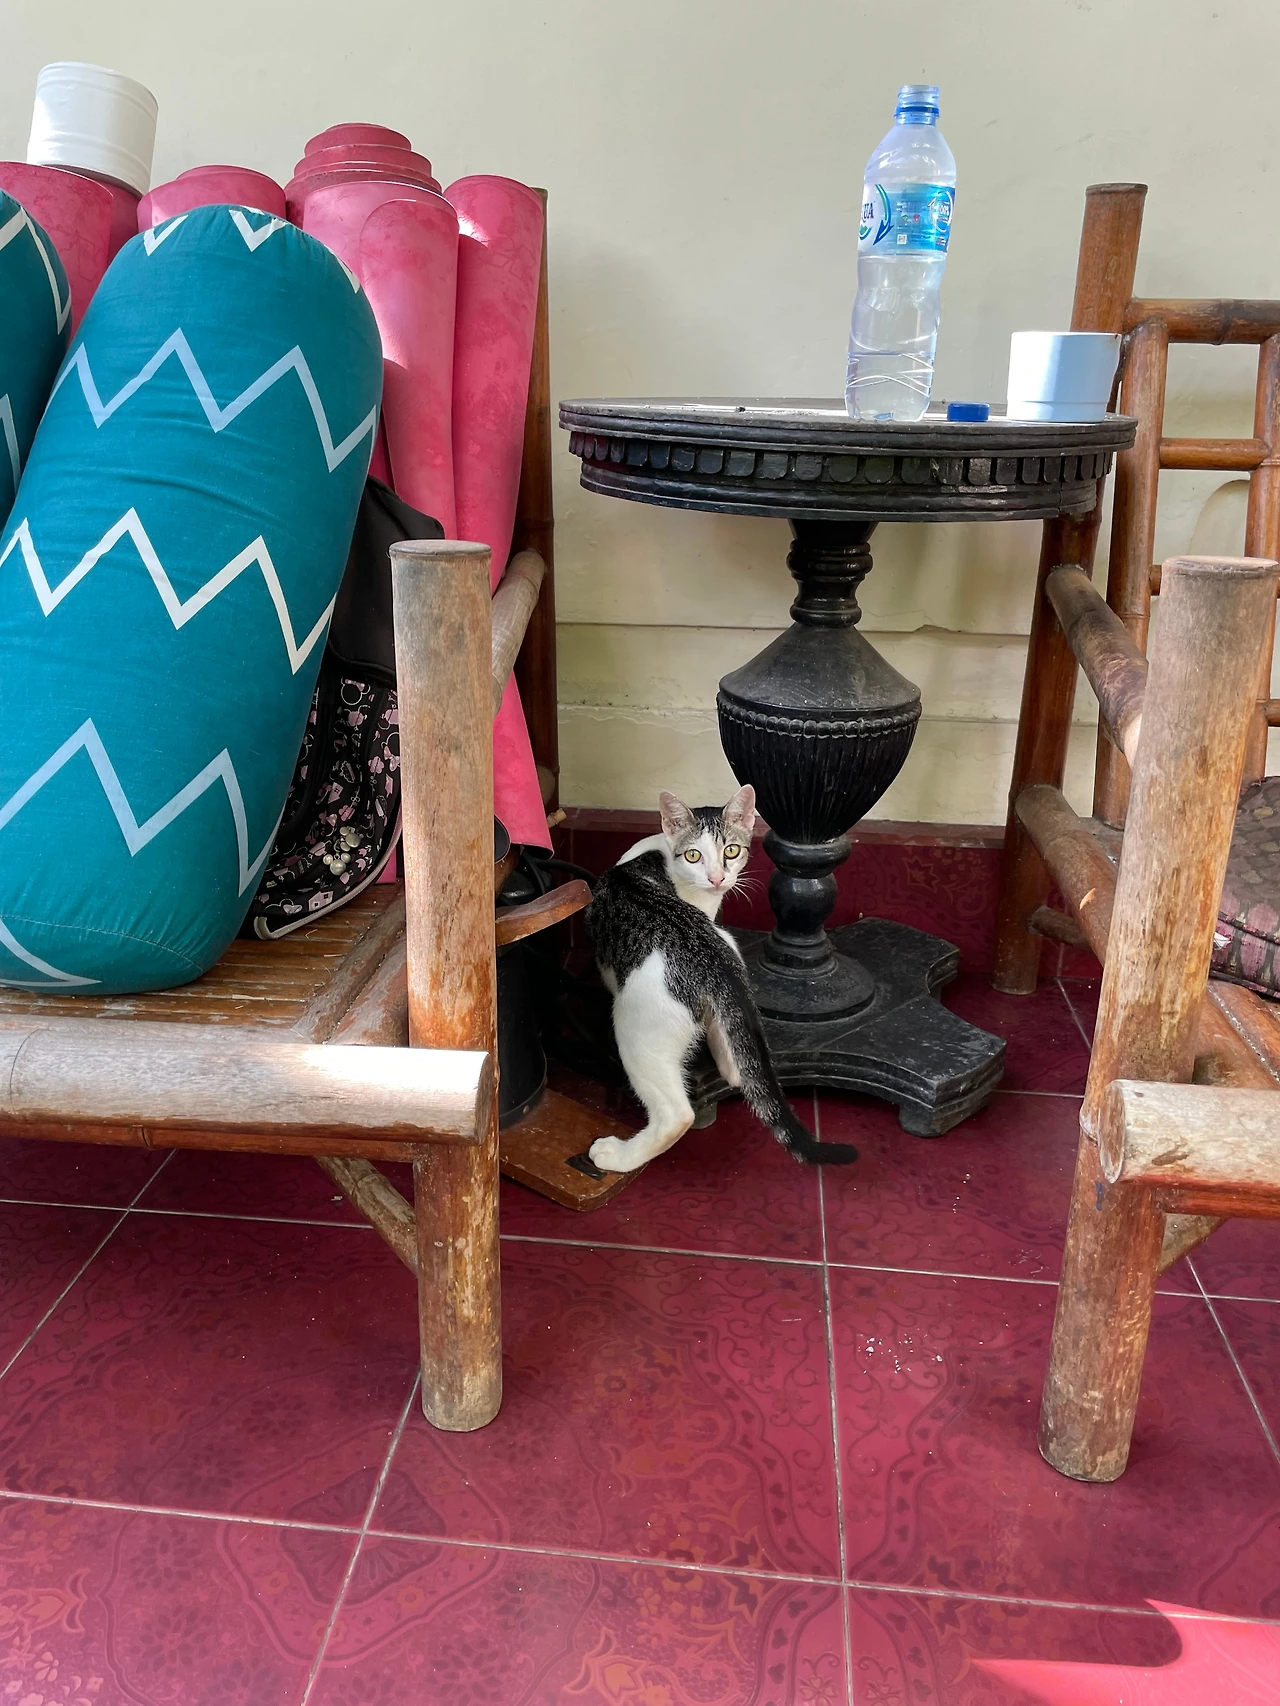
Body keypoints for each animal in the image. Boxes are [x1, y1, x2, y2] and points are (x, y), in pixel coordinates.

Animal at [584, 785, 857, 1173]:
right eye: (694, 855)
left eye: (731, 850)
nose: (717, 879)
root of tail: (713, 961)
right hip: (727, 953)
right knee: (735, 1060)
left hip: (636, 1028)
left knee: (675, 1115)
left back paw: (618, 1156)